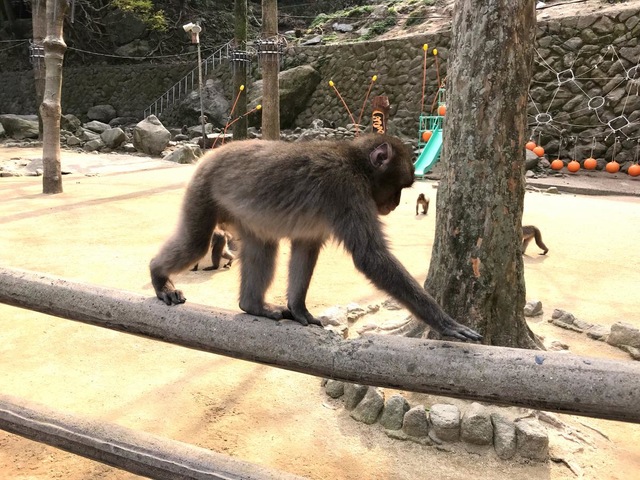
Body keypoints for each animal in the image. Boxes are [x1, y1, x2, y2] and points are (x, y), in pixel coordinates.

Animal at [149, 134, 482, 342]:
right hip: (203, 190)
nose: (397, 203)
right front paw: (444, 322)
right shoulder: (347, 191)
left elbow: (306, 248)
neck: (357, 165)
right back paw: (158, 275)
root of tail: (213, 152)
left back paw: (252, 305)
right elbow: (370, 256)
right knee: (196, 242)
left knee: (263, 246)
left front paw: (300, 310)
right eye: (400, 186)